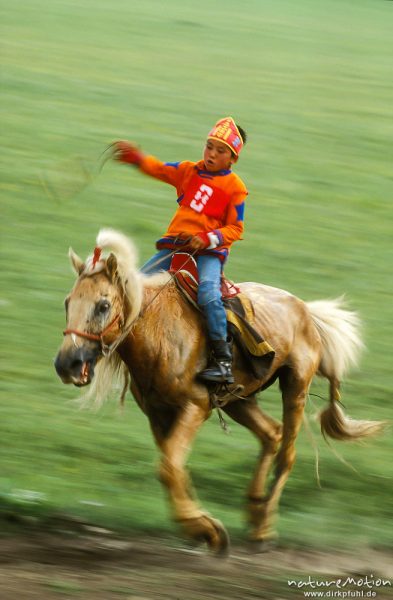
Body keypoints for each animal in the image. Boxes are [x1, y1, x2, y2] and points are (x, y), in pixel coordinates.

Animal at [55, 229, 382, 552]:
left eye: (103, 305)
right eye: (68, 302)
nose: (66, 364)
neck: (159, 332)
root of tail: (305, 309)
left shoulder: (195, 406)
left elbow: (169, 466)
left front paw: (204, 528)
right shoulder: (157, 412)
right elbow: (174, 466)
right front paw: (203, 527)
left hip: (295, 387)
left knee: (286, 454)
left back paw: (264, 525)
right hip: (238, 400)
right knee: (271, 434)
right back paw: (255, 514)